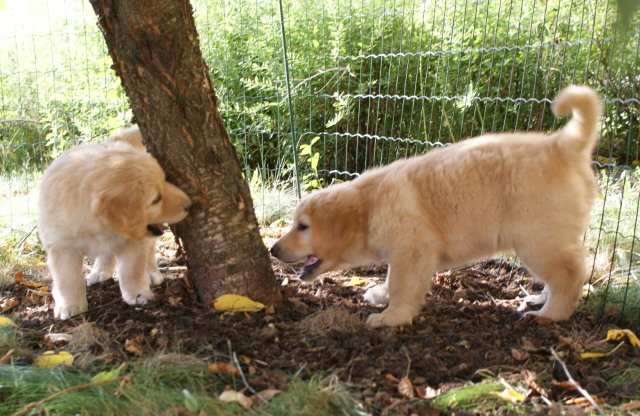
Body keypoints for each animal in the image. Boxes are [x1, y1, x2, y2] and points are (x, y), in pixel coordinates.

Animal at [38, 126, 190, 318]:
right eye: (156, 199)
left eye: (165, 181)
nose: (190, 204)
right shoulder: (61, 246)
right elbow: (67, 277)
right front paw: (70, 305)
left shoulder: (134, 241)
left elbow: (131, 269)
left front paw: (138, 294)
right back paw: (100, 271)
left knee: (148, 250)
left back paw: (151, 273)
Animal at [272, 86, 604, 328]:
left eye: (303, 226)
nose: (273, 250)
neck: (369, 206)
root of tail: (561, 146)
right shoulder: (407, 253)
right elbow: (392, 279)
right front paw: (380, 294)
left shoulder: (411, 251)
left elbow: (401, 284)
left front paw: (391, 317)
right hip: (548, 238)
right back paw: (540, 299)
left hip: (535, 238)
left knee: (569, 275)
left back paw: (549, 314)